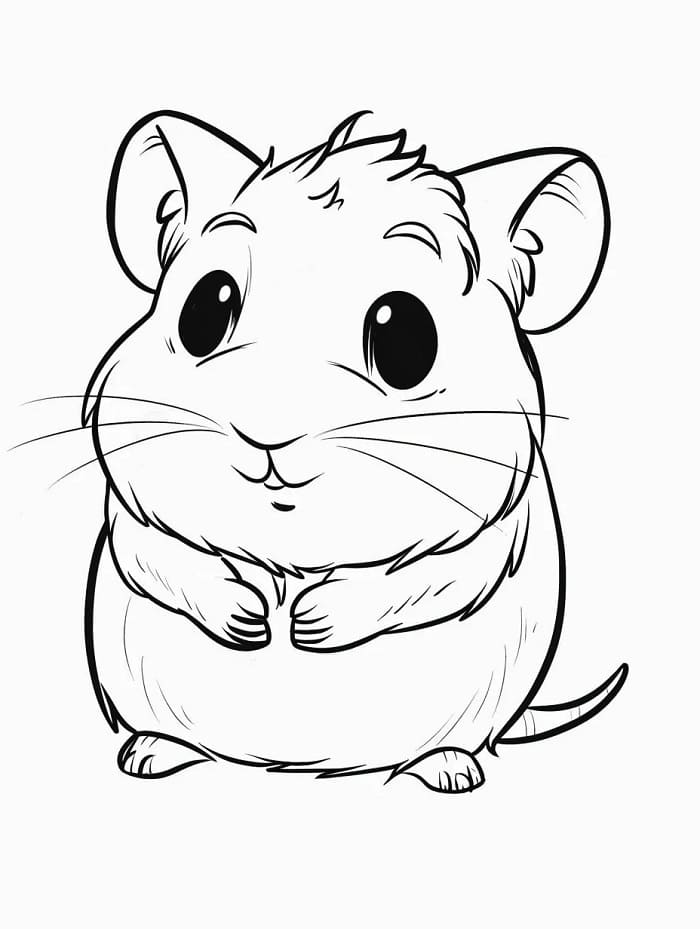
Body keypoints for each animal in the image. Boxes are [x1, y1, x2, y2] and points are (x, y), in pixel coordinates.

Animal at [84, 110, 627, 792]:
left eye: (405, 336)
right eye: (205, 308)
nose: (265, 434)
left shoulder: (497, 530)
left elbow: (434, 577)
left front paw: (308, 624)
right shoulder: (127, 510)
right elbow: (157, 556)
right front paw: (252, 619)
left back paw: (449, 770)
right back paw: (151, 754)